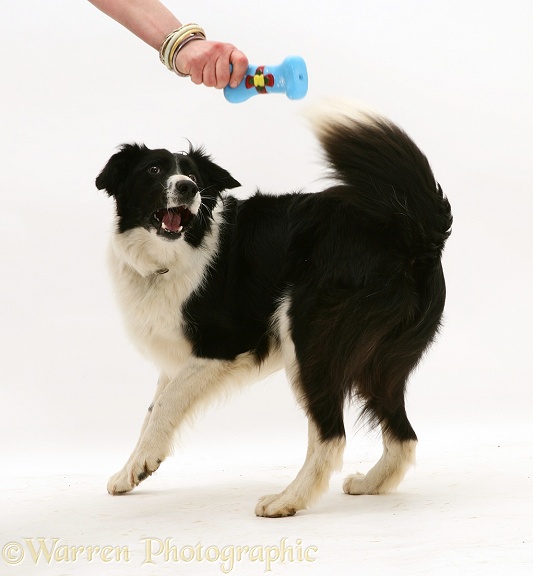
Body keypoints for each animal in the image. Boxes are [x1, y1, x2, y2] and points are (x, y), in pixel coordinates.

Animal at [94, 100, 448, 516]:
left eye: (193, 175)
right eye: (153, 170)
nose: (188, 188)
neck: (170, 258)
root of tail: (412, 230)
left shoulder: (224, 346)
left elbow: (165, 403)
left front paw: (142, 462)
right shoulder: (182, 356)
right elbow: (153, 410)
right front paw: (132, 470)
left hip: (309, 339)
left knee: (331, 435)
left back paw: (287, 500)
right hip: (380, 362)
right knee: (403, 435)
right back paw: (370, 484)